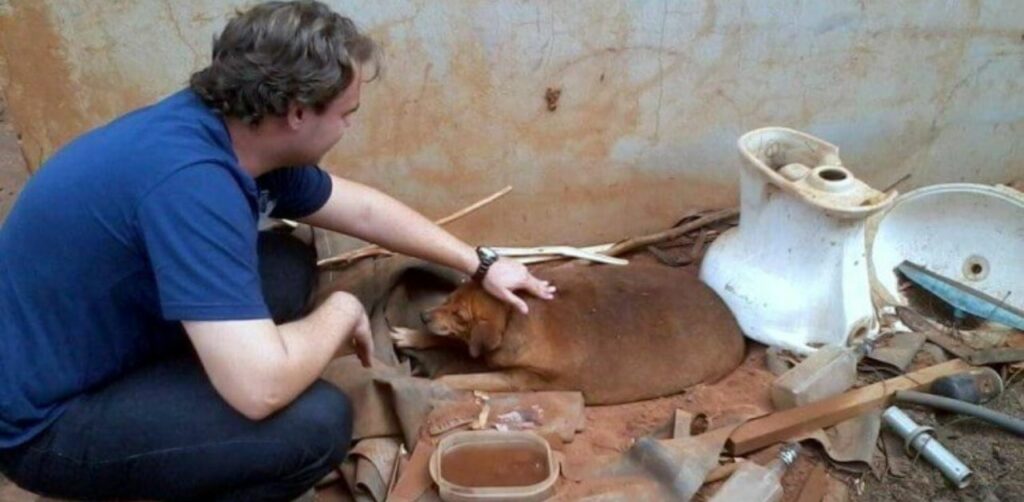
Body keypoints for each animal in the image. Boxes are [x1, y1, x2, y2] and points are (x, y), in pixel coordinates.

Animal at [403, 262, 749, 403]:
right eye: (449, 297)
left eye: (460, 315)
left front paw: (431, 381)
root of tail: (735, 326)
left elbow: (463, 377)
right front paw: (411, 335)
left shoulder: (521, 377)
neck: (516, 316)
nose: (422, 315)